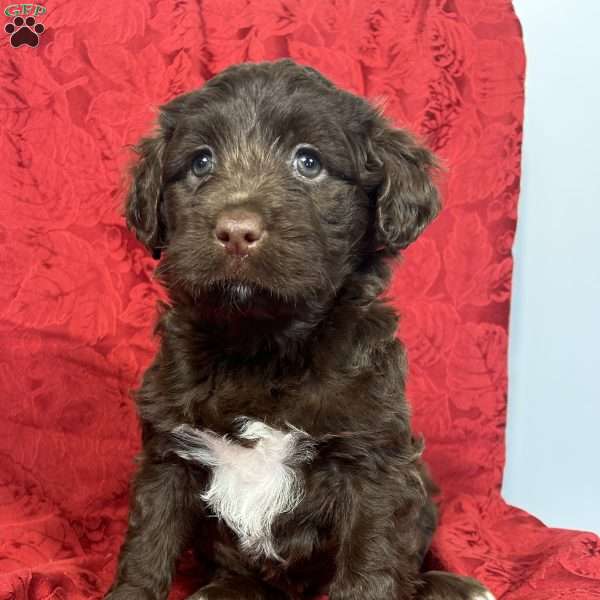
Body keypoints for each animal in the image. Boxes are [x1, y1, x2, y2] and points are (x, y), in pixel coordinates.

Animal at [105, 59, 494, 600]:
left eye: (308, 162)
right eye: (201, 162)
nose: (236, 231)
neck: (263, 345)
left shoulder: (374, 463)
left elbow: (371, 564)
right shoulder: (168, 451)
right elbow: (147, 545)